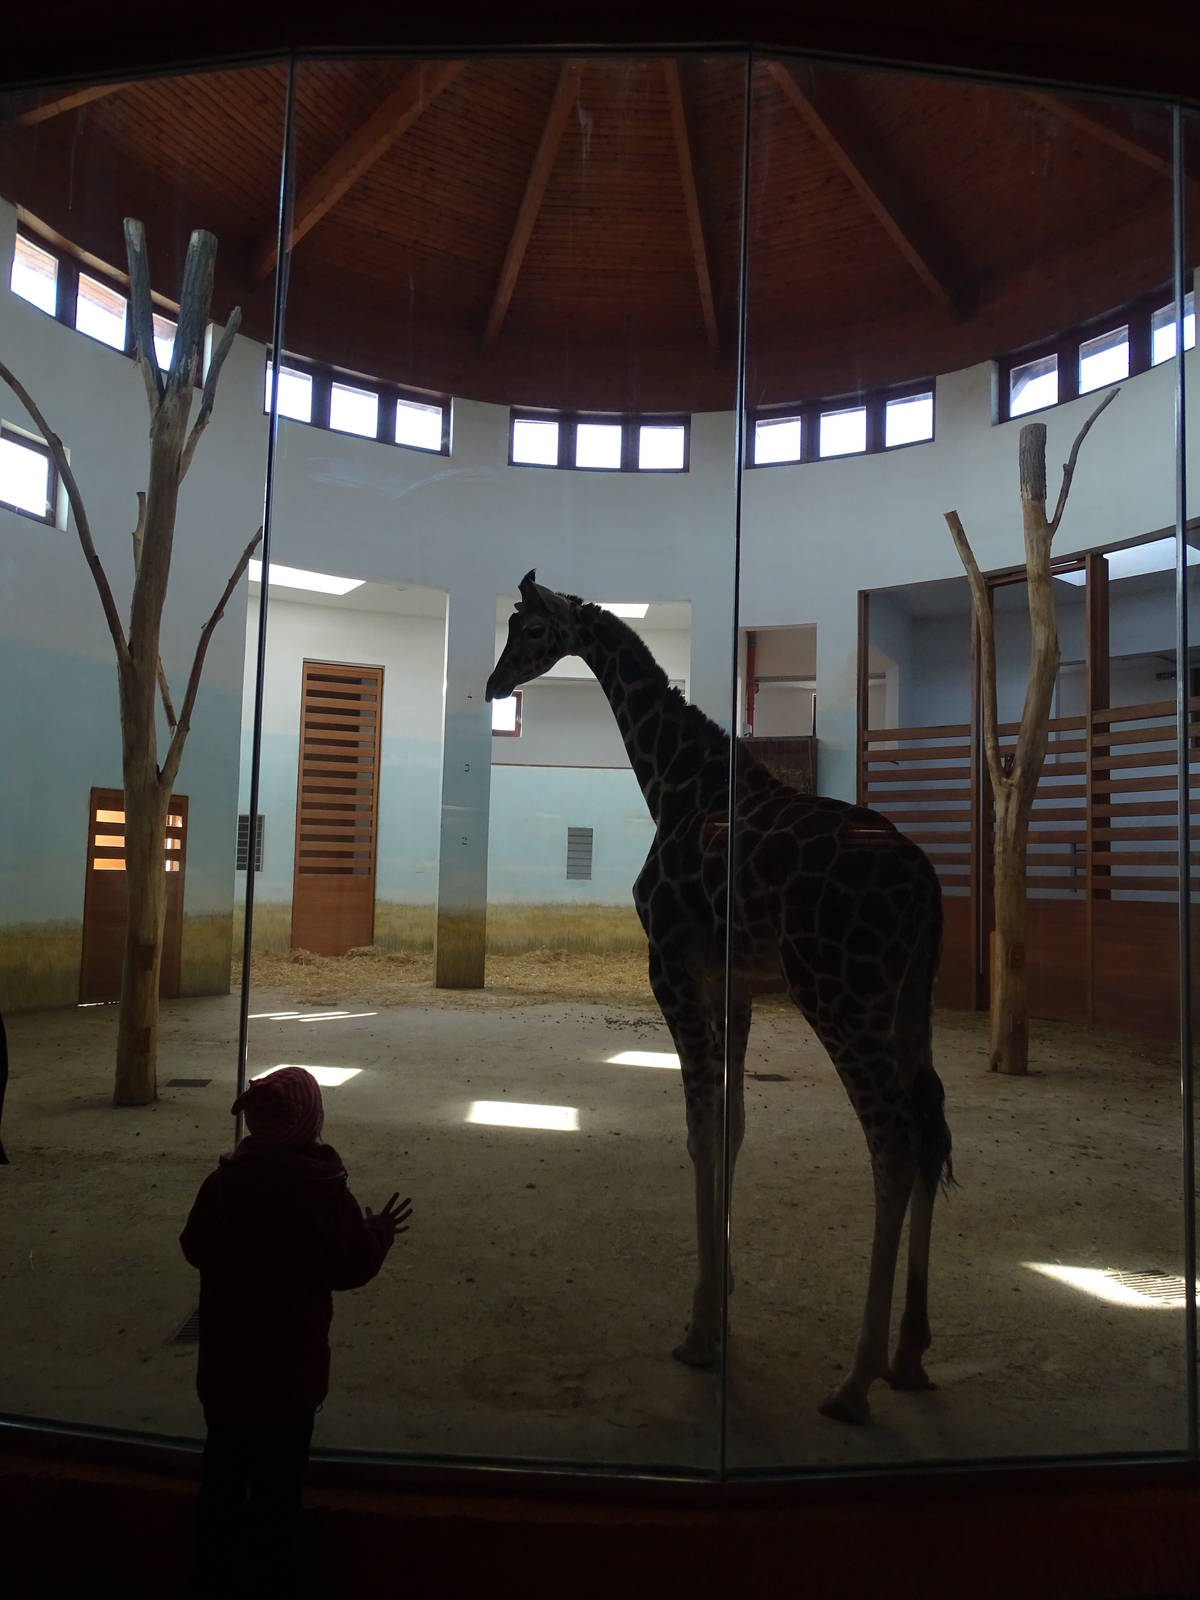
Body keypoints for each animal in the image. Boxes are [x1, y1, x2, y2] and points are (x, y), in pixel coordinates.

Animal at [486, 571, 952, 1424]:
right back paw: (909, 1353)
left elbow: (700, 1132)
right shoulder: (732, 984)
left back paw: (856, 1378)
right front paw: (723, 1290)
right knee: (931, 1134)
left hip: (841, 998)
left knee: (893, 1142)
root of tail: (928, 891)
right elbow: (733, 1127)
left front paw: (701, 1331)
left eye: (533, 629)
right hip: (911, 1005)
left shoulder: (669, 964)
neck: (674, 782)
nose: (495, 685)